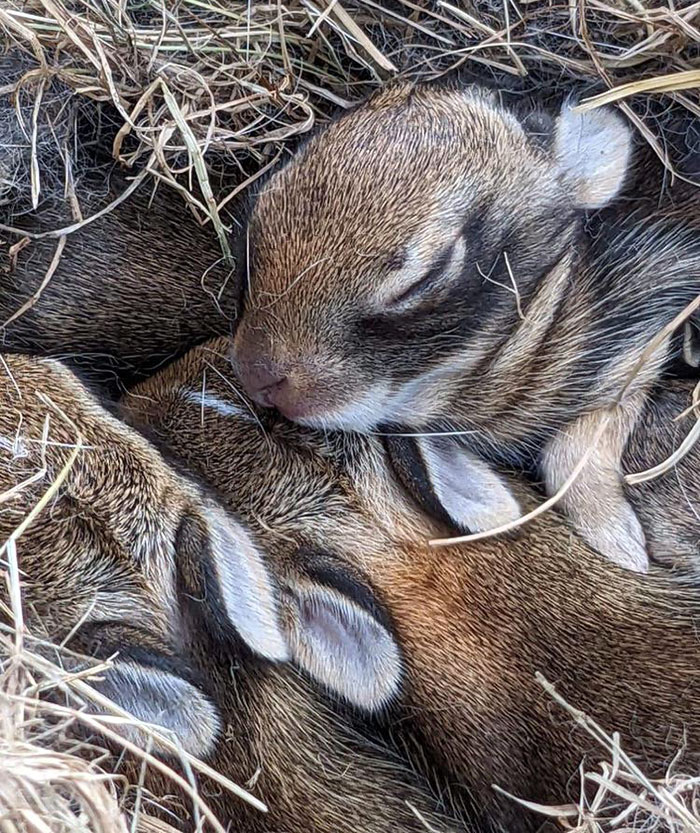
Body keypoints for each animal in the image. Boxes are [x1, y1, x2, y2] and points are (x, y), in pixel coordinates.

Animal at [230, 79, 700, 572]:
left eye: (424, 279)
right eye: (256, 218)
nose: (258, 377)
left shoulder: (647, 329)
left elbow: (577, 449)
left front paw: (620, 544)